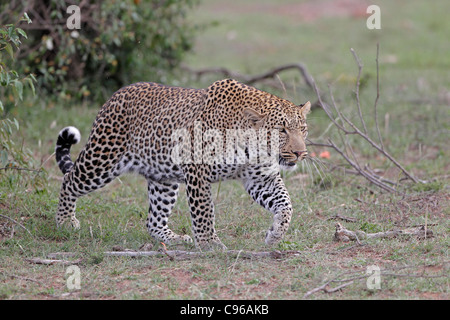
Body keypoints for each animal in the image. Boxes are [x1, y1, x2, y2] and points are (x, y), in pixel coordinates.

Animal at [55, 78, 310, 250]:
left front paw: (275, 234)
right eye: (281, 130)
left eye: (303, 129)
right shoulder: (197, 171)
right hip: (102, 159)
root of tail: (115, 95)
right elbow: (204, 212)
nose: (300, 153)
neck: (251, 146)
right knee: (69, 180)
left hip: (163, 179)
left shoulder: (260, 178)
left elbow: (286, 205)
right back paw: (65, 222)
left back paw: (174, 239)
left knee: (153, 220)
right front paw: (209, 243)